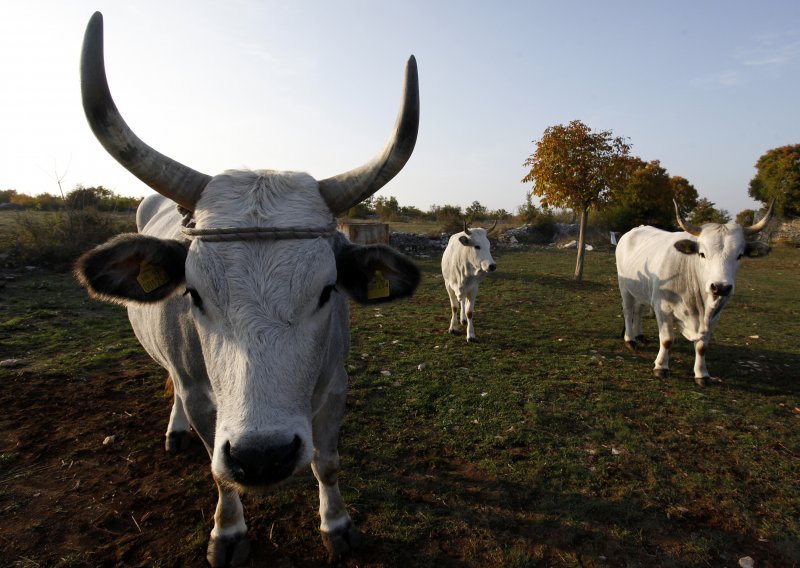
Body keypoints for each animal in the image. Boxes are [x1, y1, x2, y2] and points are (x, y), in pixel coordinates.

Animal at [76, 13, 422, 568]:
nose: (263, 456)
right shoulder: (202, 398)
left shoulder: (335, 385)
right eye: (193, 295)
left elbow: (327, 462)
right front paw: (228, 533)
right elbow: (218, 473)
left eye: (327, 291)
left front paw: (337, 524)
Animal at [616, 200, 772, 386]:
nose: (720, 287)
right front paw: (661, 366)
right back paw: (630, 339)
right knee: (628, 310)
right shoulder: (663, 307)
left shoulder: (714, 315)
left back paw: (639, 335)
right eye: (702, 254)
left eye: (740, 255)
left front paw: (702, 374)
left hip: (642, 290)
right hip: (625, 286)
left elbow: (702, 346)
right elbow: (667, 339)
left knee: (638, 309)